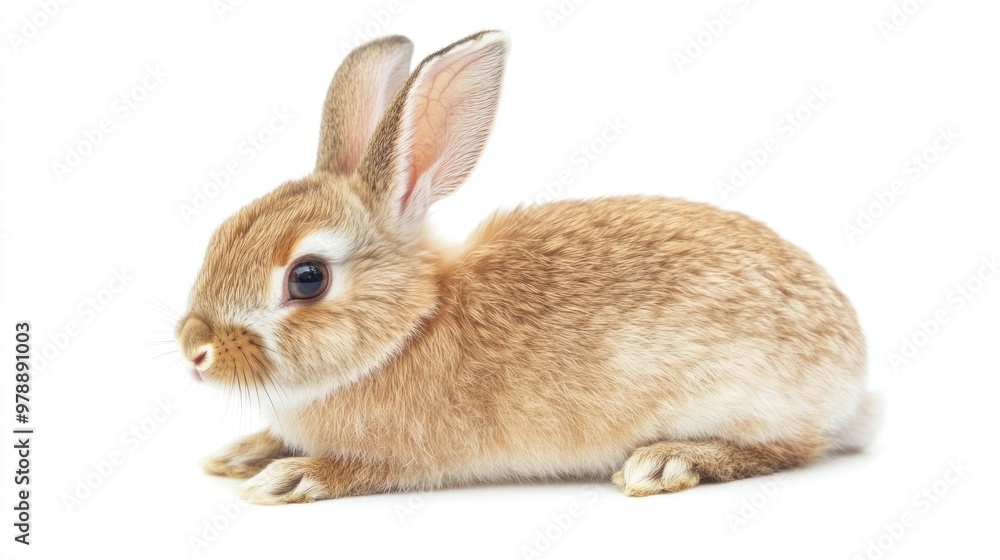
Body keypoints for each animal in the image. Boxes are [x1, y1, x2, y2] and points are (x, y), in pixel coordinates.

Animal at [175, 30, 881, 504]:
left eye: (308, 277)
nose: (195, 350)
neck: (406, 328)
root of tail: (853, 373)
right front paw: (239, 455)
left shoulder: (411, 456)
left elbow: (362, 469)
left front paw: (291, 476)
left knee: (789, 450)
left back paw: (664, 463)